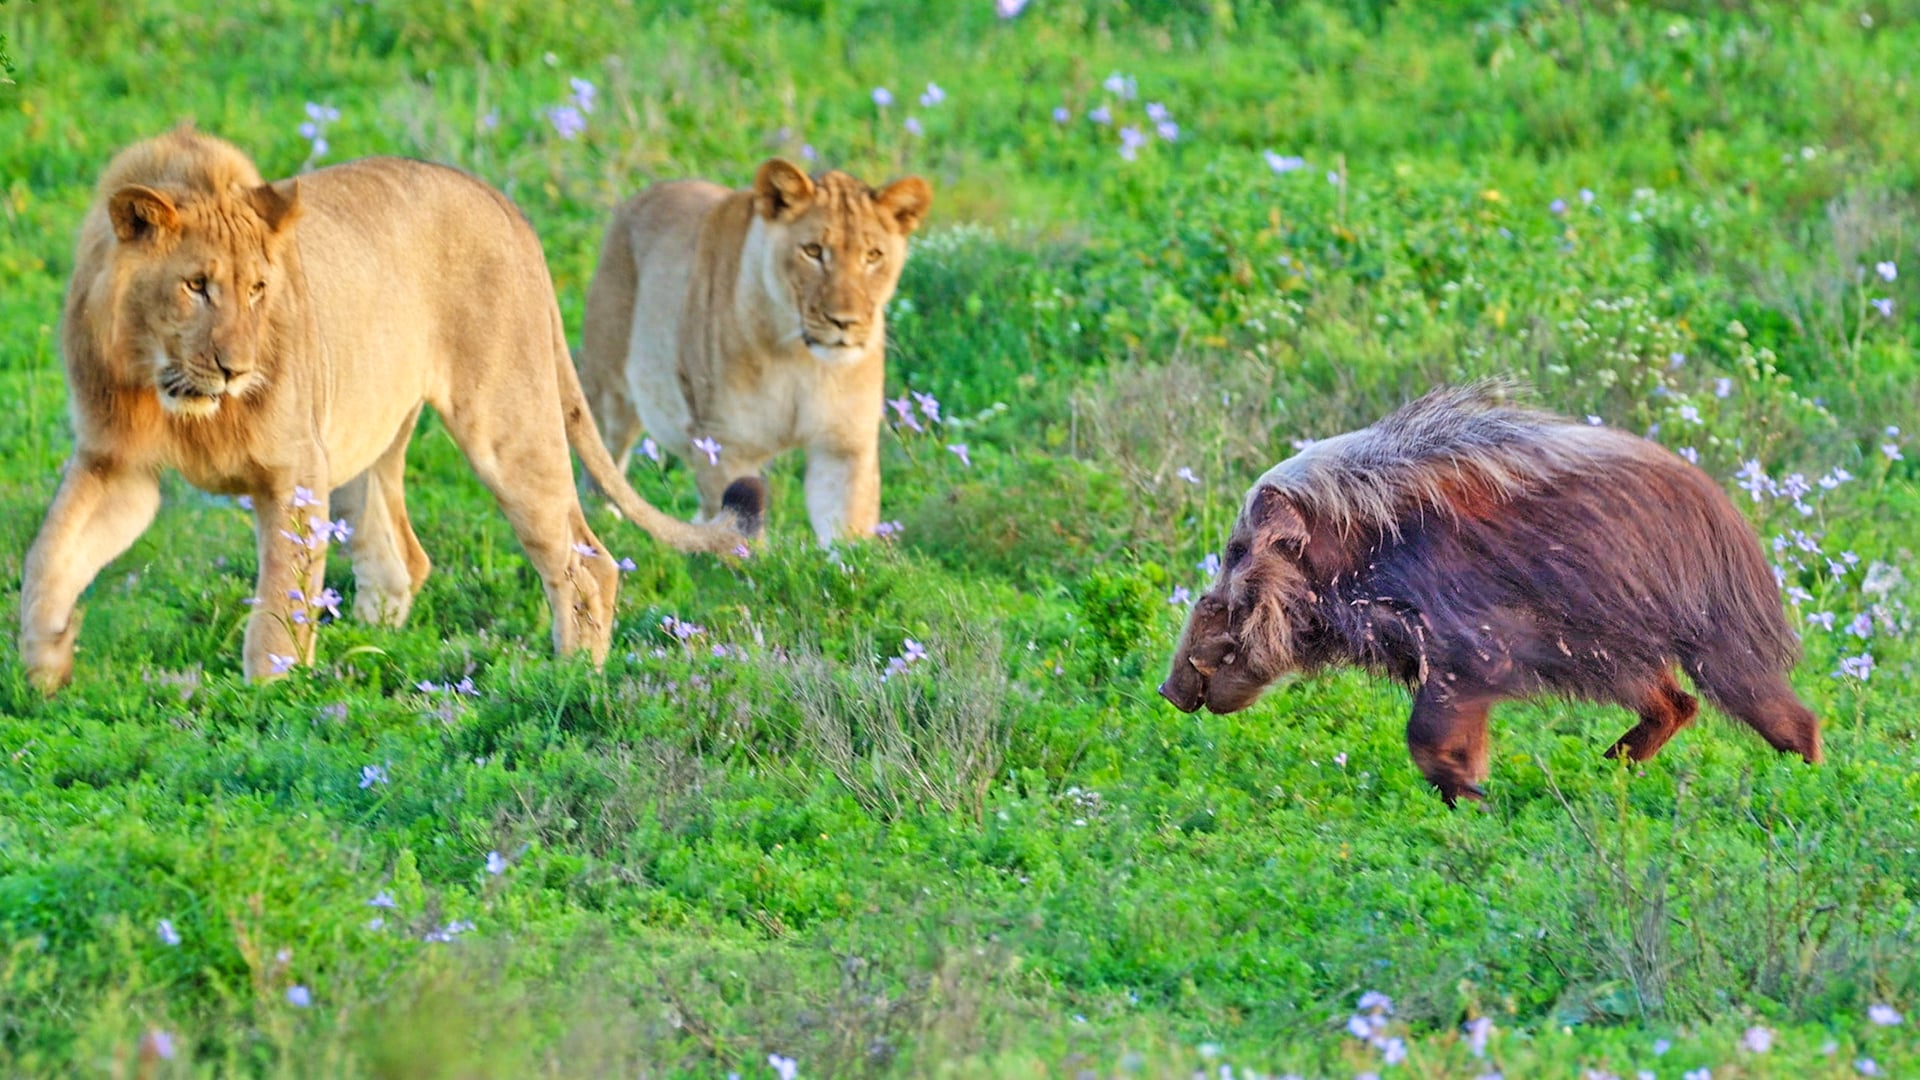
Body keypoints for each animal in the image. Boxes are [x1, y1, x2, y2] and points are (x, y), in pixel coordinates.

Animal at [18, 126, 762, 693]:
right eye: (195, 286)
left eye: (257, 288)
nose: (237, 368)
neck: (166, 387)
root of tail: (500, 200)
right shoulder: (118, 465)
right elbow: (48, 557)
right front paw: (44, 665)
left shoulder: (293, 470)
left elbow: (280, 601)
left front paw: (269, 701)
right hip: (363, 440)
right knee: (401, 558)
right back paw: (375, 657)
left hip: (503, 420)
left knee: (587, 561)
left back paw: (571, 679)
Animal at [577, 158, 931, 546]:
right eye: (812, 251)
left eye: (873, 256)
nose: (844, 321)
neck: (800, 358)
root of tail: (644, 195)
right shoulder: (727, 446)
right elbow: (741, 542)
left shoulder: (844, 447)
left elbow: (847, 536)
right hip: (610, 392)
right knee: (602, 464)